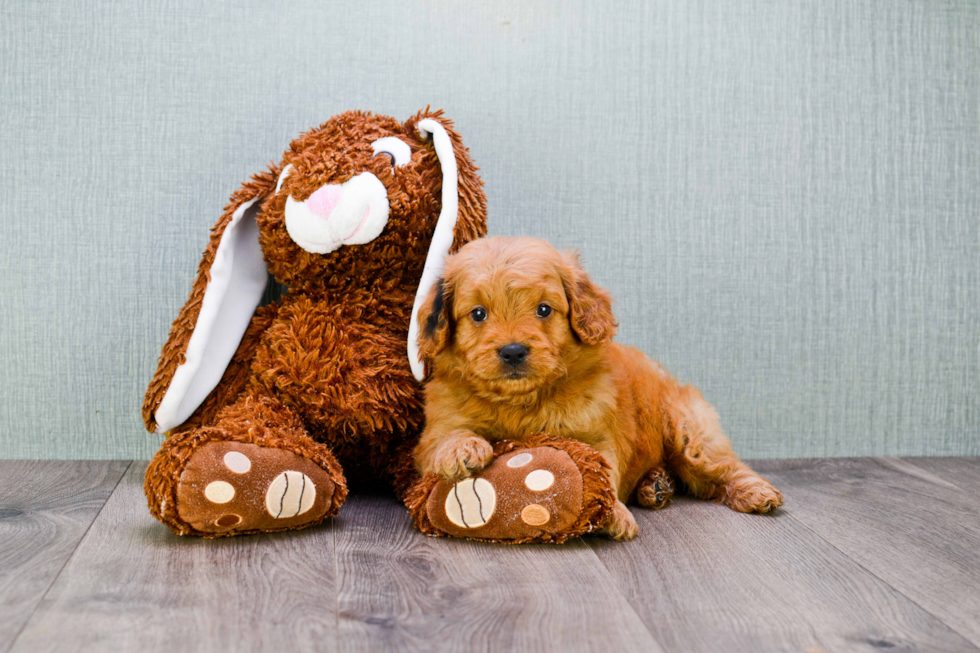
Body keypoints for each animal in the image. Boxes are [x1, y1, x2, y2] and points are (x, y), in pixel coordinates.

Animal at [412, 236, 780, 540]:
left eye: (543, 309)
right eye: (478, 314)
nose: (513, 351)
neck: (523, 401)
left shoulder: (595, 435)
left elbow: (602, 472)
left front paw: (612, 513)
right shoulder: (435, 429)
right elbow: (448, 436)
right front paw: (462, 449)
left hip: (689, 428)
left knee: (724, 466)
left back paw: (756, 492)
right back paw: (655, 485)